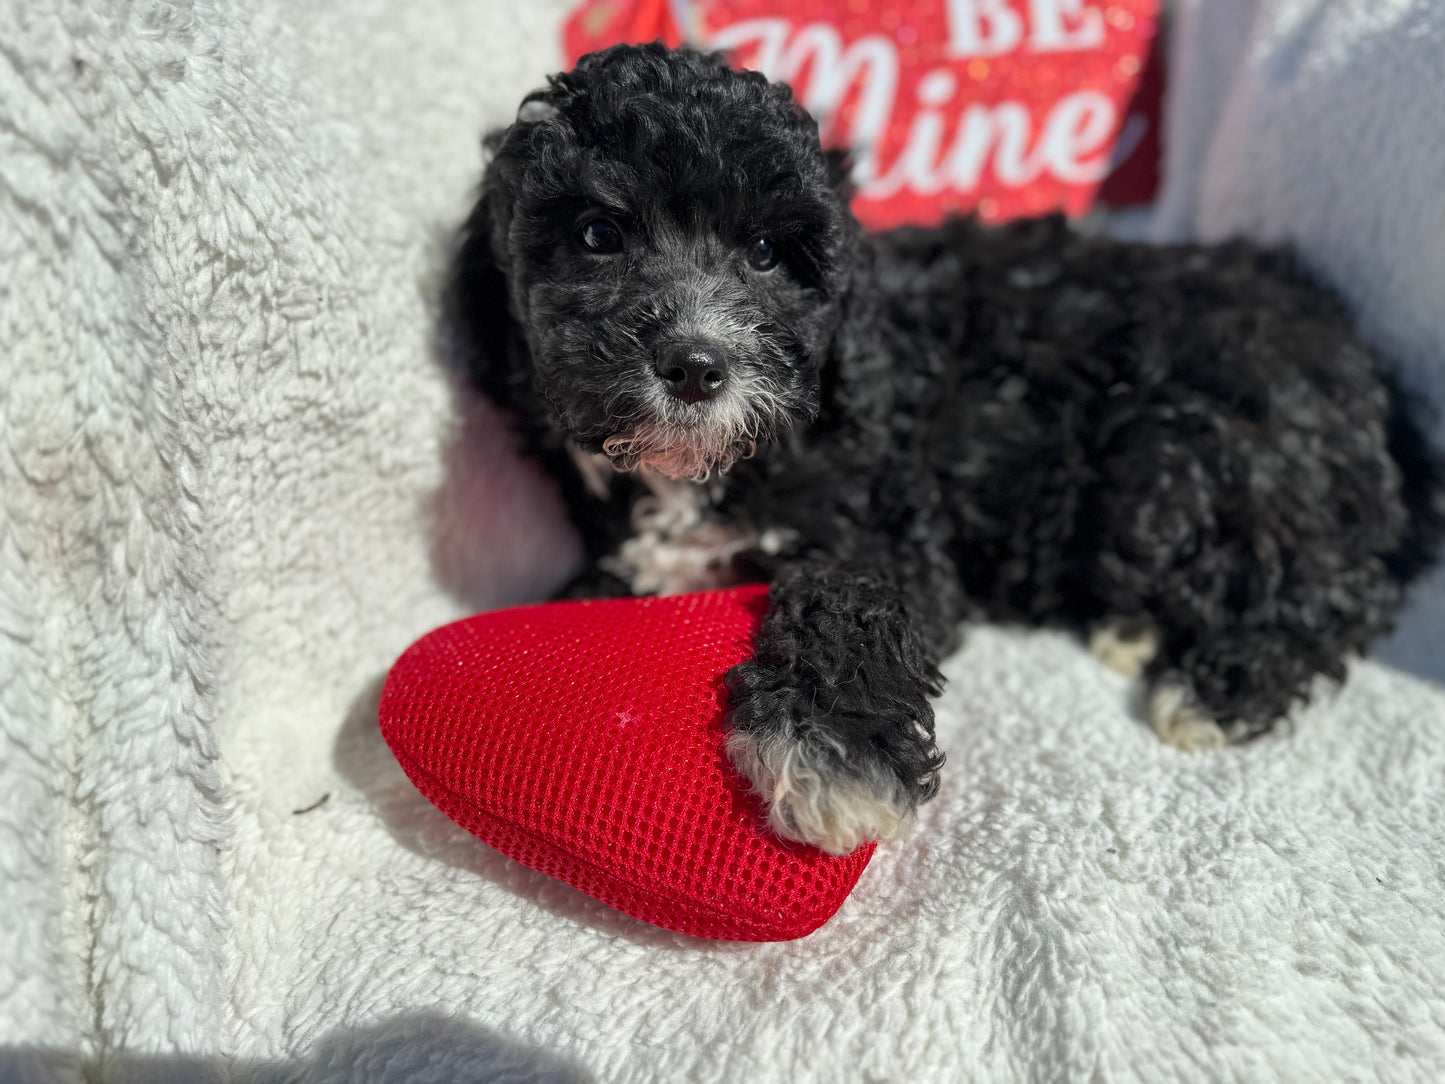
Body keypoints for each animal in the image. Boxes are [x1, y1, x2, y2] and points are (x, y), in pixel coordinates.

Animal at [445, 42, 1439, 855]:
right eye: (597, 236)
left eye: (765, 252)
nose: (695, 365)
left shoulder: (897, 531)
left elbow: (849, 593)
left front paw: (836, 747)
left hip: (1177, 464)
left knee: (1333, 589)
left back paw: (1211, 689)